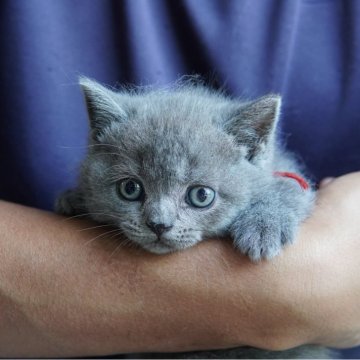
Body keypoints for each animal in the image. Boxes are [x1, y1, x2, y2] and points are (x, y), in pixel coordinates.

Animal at [55, 77, 332, 358]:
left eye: (201, 195)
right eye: (130, 188)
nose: (158, 224)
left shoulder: (289, 175)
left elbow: (289, 189)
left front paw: (263, 226)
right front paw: (75, 199)